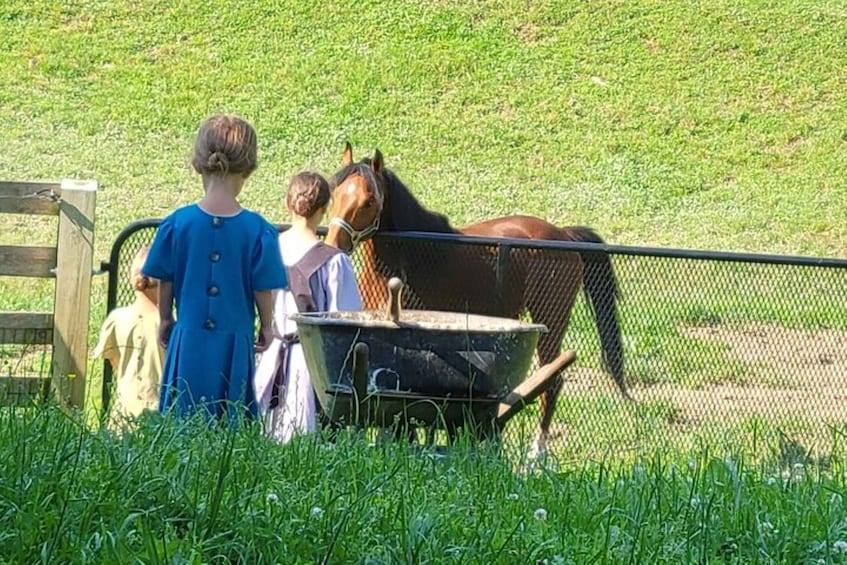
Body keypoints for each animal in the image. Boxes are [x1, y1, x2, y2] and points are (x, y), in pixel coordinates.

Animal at [325, 142, 632, 454]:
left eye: (368, 201)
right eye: (335, 193)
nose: (334, 243)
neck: (415, 256)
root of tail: (565, 235)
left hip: (552, 321)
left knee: (553, 382)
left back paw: (536, 453)